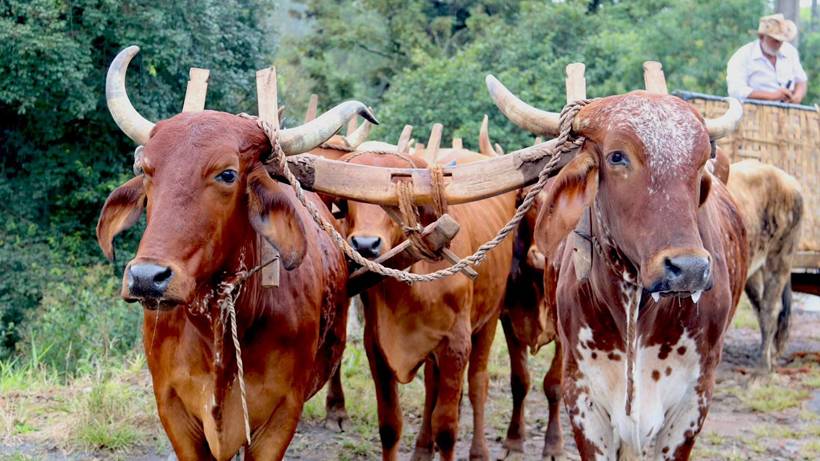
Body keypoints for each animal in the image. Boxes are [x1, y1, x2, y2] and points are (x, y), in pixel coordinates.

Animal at [96, 46, 376, 460]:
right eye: (146, 170)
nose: (147, 278)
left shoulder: (279, 416)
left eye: (227, 174)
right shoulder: (173, 409)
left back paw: (336, 412)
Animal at [338, 149, 516, 461]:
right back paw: (422, 448)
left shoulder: (456, 344)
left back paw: (479, 451)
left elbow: (446, 429)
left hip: (490, 318)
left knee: (478, 384)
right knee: (433, 385)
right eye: (346, 202)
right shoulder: (376, 347)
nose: (365, 245)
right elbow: (390, 426)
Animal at [727, 159, 804, 372]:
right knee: (761, 308)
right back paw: (771, 355)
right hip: (752, 272)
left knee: (771, 309)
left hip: (780, 258)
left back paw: (763, 365)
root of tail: (791, 181)